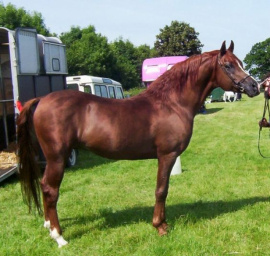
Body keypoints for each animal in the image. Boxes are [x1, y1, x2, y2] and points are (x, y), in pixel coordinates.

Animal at [16, 41, 260, 247]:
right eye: (228, 65)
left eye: (241, 63)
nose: (254, 87)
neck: (172, 103)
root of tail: (42, 100)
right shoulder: (167, 155)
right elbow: (161, 190)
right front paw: (160, 227)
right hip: (58, 157)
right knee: (50, 190)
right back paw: (59, 237)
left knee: (44, 186)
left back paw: (48, 225)